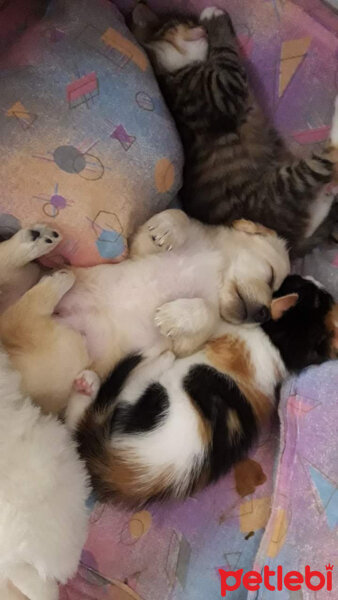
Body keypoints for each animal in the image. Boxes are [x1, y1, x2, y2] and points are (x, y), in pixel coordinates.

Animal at [74, 276, 338, 506]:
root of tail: (123, 474)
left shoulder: (224, 332)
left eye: (300, 286)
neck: (280, 346)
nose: (310, 277)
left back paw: (145, 363)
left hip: (153, 400)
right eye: (318, 294)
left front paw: (176, 318)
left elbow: (211, 312)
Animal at [131, 4, 338, 254]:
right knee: (324, 162)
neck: (175, 71)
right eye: (186, 23)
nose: (201, 28)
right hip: (276, 188)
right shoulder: (221, 90)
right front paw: (215, 18)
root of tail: (287, 241)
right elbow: (227, 55)